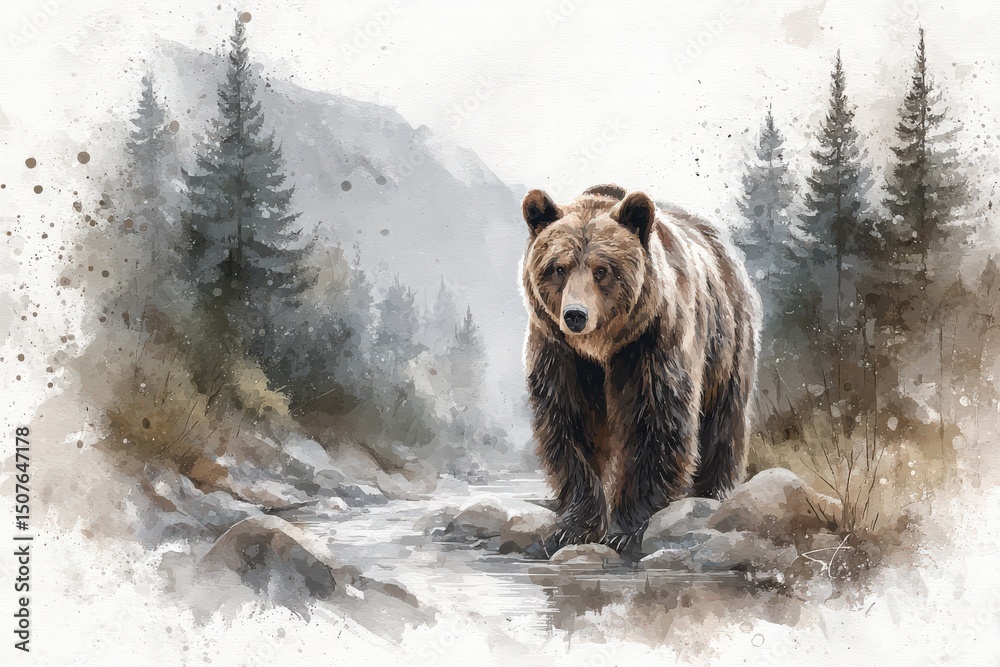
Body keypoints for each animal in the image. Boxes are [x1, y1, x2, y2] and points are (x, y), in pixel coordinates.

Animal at [519, 184, 761, 554]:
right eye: (559, 267)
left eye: (602, 270)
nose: (575, 315)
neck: (602, 348)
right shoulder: (561, 354)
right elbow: (570, 424)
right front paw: (576, 526)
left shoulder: (650, 343)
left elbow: (655, 422)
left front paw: (627, 527)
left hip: (727, 335)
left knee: (724, 416)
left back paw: (713, 492)